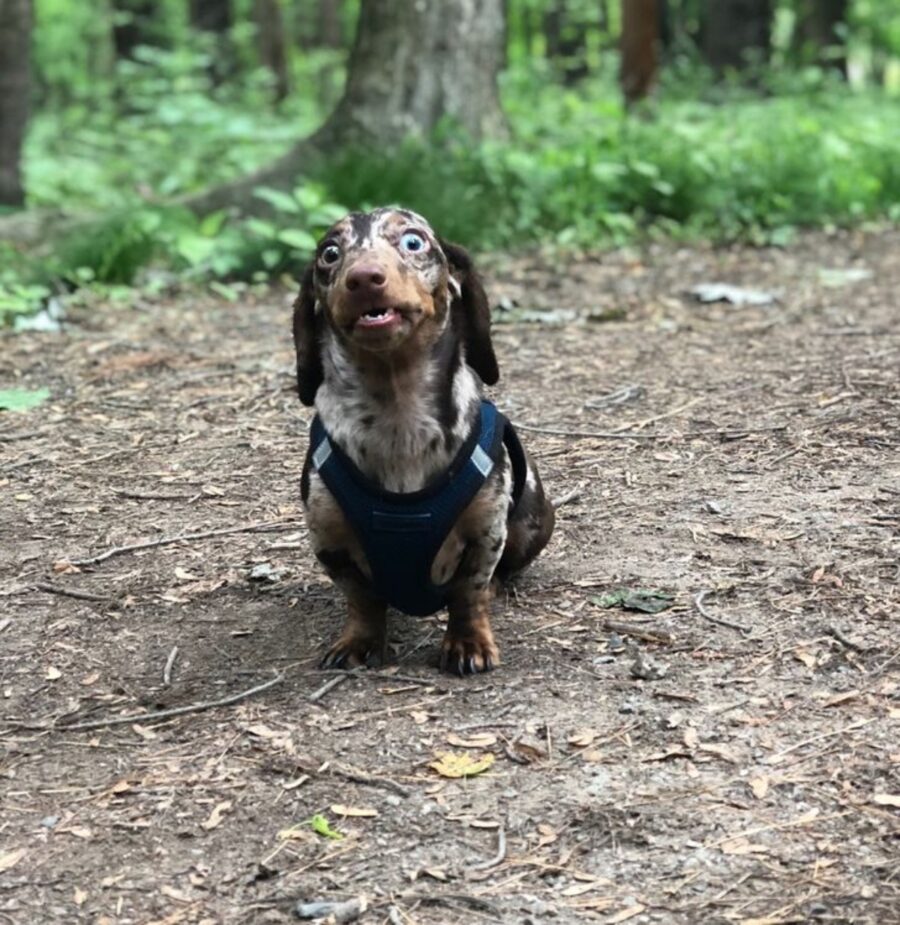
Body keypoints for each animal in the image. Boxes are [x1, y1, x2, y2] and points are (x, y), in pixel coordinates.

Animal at [294, 208, 556, 672]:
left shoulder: (485, 533)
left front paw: (468, 643)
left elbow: (468, 593)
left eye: (413, 242)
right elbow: (362, 598)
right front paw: (358, 641)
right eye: (329, 253)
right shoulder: (328, 540)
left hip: (530, 523)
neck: (399, 415)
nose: (364, 277)